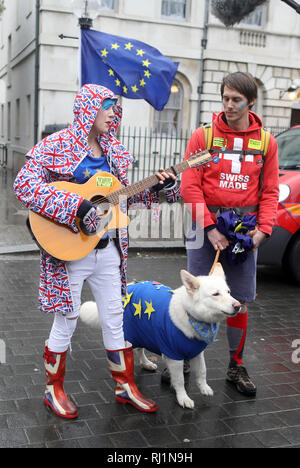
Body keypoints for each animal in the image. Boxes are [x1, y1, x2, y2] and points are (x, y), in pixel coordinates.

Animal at [79, 264, 239, 410]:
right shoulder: (174, 356)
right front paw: (183, 398)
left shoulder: (197, 353)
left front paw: (204, 387)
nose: (238, 306)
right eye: (216, 294)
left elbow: (202, 371)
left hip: (143, 332)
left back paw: (146, 363)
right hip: (126, 336)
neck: (191, 316)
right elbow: (180, 380)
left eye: (229, 292)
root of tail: (127, 288)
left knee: (139, 350)